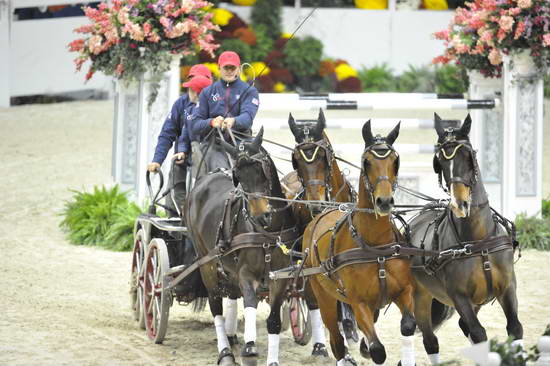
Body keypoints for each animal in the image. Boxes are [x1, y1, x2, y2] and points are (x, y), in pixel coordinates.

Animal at [184, 128, 298, 366]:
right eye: (238, 175)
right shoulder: (246, 273)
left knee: (230, 295)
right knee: (216, 305)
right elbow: (250, 302)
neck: (267, 232)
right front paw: (250, 348)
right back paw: (225, 352)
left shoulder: (280, 277)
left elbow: (273, 321)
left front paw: (272, 360)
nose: (262, 216)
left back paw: (231, 337)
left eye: (261, 169)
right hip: (207, 264)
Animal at [302, 121, 418, 366]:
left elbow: (408, 325)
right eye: (367, 162)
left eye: (395, 162)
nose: (384, 201)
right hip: (324, 296)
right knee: (336, 341)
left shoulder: (404, 291)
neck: (375, 247)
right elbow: (377, 350)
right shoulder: (358, 303)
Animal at [412, 113, 524, 364]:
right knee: (430, 340)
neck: (479, 242)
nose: (460, 204)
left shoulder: (508, 288)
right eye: (440, 162)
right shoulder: (460, 297)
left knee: (463, 328)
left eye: (468, 155)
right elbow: (479, 333)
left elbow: (515, 328)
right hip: (421, 296)